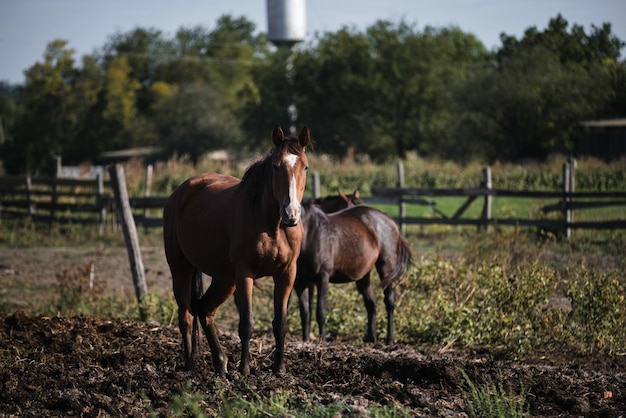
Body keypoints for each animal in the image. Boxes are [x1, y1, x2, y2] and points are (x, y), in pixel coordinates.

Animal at [163, 124, 310, 376]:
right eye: (275, 166)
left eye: (305, 166)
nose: (290, 213)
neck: (272, 224)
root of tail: (179, 193)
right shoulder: (245, 273)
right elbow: (246, 324)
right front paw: (244, 369)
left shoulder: (286, 273)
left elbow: (280, 324)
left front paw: (279, 369)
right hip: (181, 269)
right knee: (187, 317)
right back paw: (191, 365)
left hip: (224, 279)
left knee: (204, 309)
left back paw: (220, 363)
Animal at [294, 201, 412, 344]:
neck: (309, 233)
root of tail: (391, 222)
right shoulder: (299, 282)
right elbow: (304, 313)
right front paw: (305, 341)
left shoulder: (322, 277)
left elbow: (320, 311)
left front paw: (322, 340)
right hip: (363, 275)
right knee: (371, 301)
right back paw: (370, 337)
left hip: (386, 268)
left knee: (389, 301)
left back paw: (390, 339)